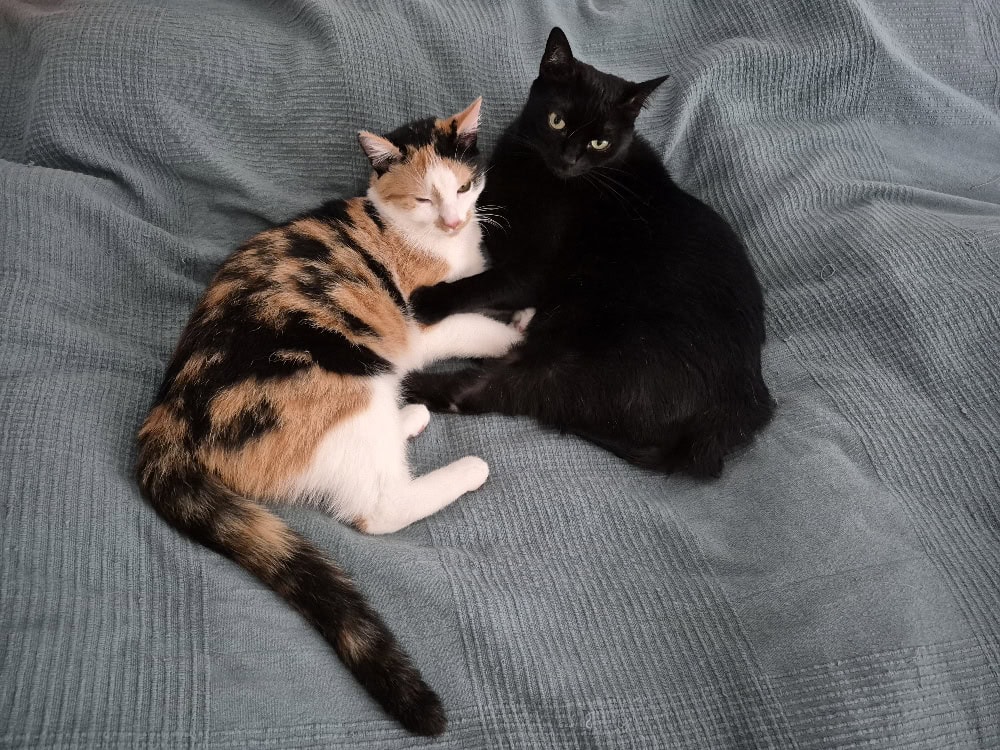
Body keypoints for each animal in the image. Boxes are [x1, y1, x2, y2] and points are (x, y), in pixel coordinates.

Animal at [135, 98, 524, 736]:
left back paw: (410, 417)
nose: (451, 222)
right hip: (348, 378)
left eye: (464, 188)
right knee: (378, 508)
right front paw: (525, 334)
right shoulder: (426, 326)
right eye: (424, 199)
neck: (415, 235)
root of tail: (165, 413)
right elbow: (478, 328)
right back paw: (465, 468)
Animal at [405, 29, 774, 477]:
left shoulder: (532, 270)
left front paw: (430, 299)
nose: (569, 158)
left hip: (578, 355)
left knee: (484, 392)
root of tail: (726, 425)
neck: (540, 174)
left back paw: (404, 385)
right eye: (557, 120)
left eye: (600, 142)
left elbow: (485, 282)